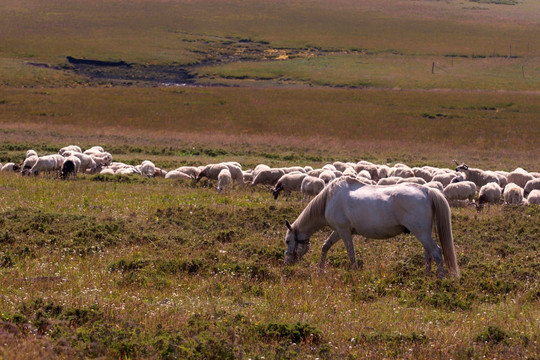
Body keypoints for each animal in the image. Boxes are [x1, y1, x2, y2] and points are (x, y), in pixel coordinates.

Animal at [282, 176, 460, 278]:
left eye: (288, 241)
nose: (286, 263)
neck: (328, 199)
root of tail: (427, 190)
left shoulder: (344, 232)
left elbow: (351, 254)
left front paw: (355, 273)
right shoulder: (338, 231)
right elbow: (325, 246)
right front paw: (320, 271)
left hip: (421, 233)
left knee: (436, 252)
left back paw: (440, 279)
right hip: (423, 234)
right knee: (428, 254)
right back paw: (426, 277)